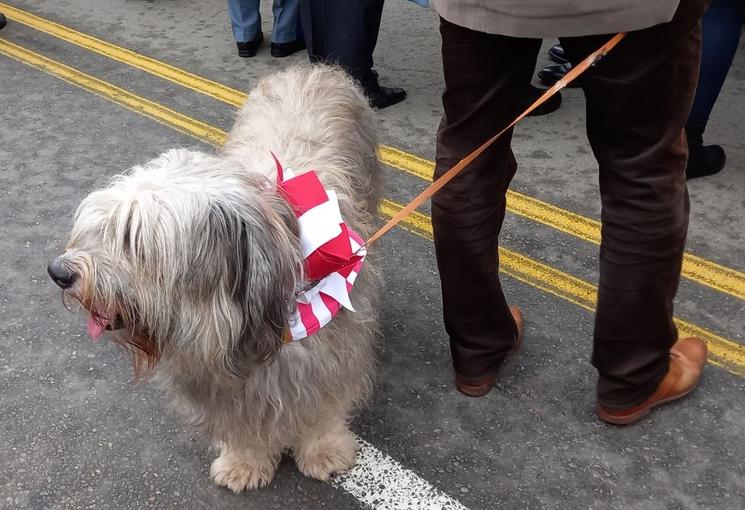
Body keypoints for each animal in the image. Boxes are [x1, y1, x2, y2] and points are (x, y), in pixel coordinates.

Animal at [46, 65, 380, 492]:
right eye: (101, 225)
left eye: (133, 237)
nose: (60, 272)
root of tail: (313, 67)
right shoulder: (217, 379)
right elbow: (241, 425)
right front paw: (244, 461)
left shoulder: (332, 353)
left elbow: (325, 405)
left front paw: (324, 449)